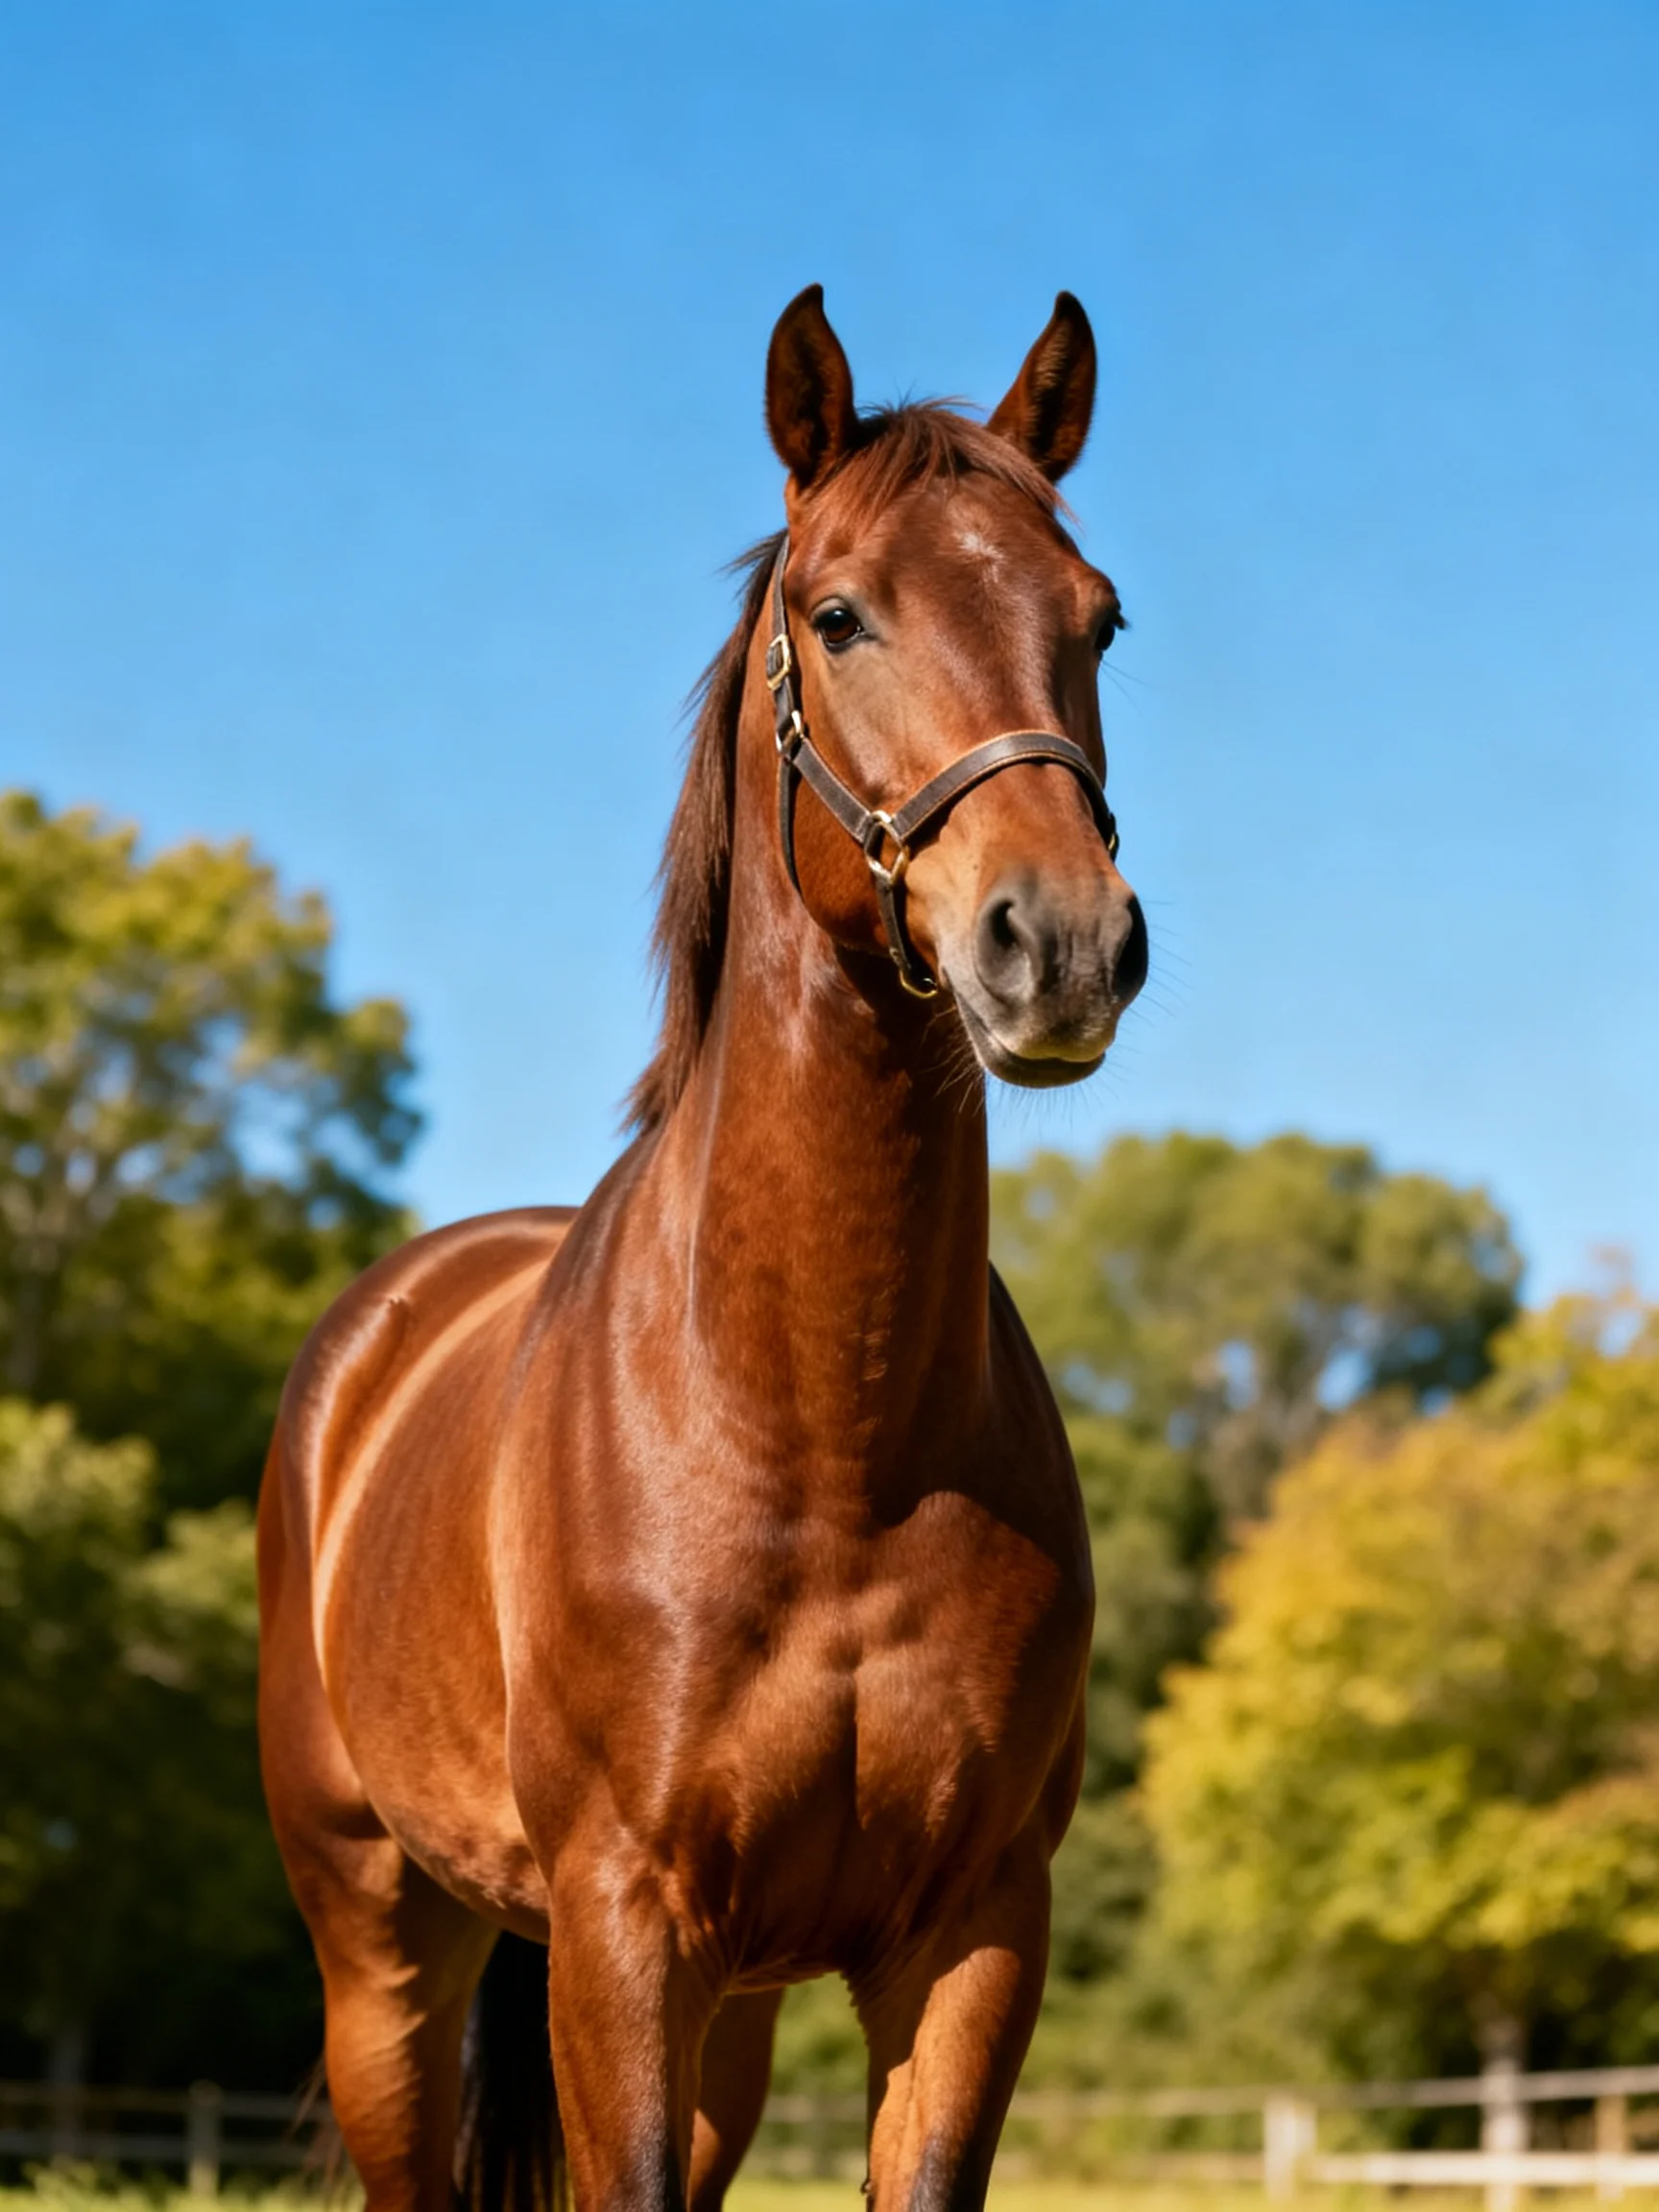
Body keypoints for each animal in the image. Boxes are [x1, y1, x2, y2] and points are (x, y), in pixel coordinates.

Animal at [257, 283, 1148, 2212]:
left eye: (1099, 616)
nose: (1056, 943)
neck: (827, 1431)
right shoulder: (621, 1930)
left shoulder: (970, 1934)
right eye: (838, 611)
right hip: (380, 1947)